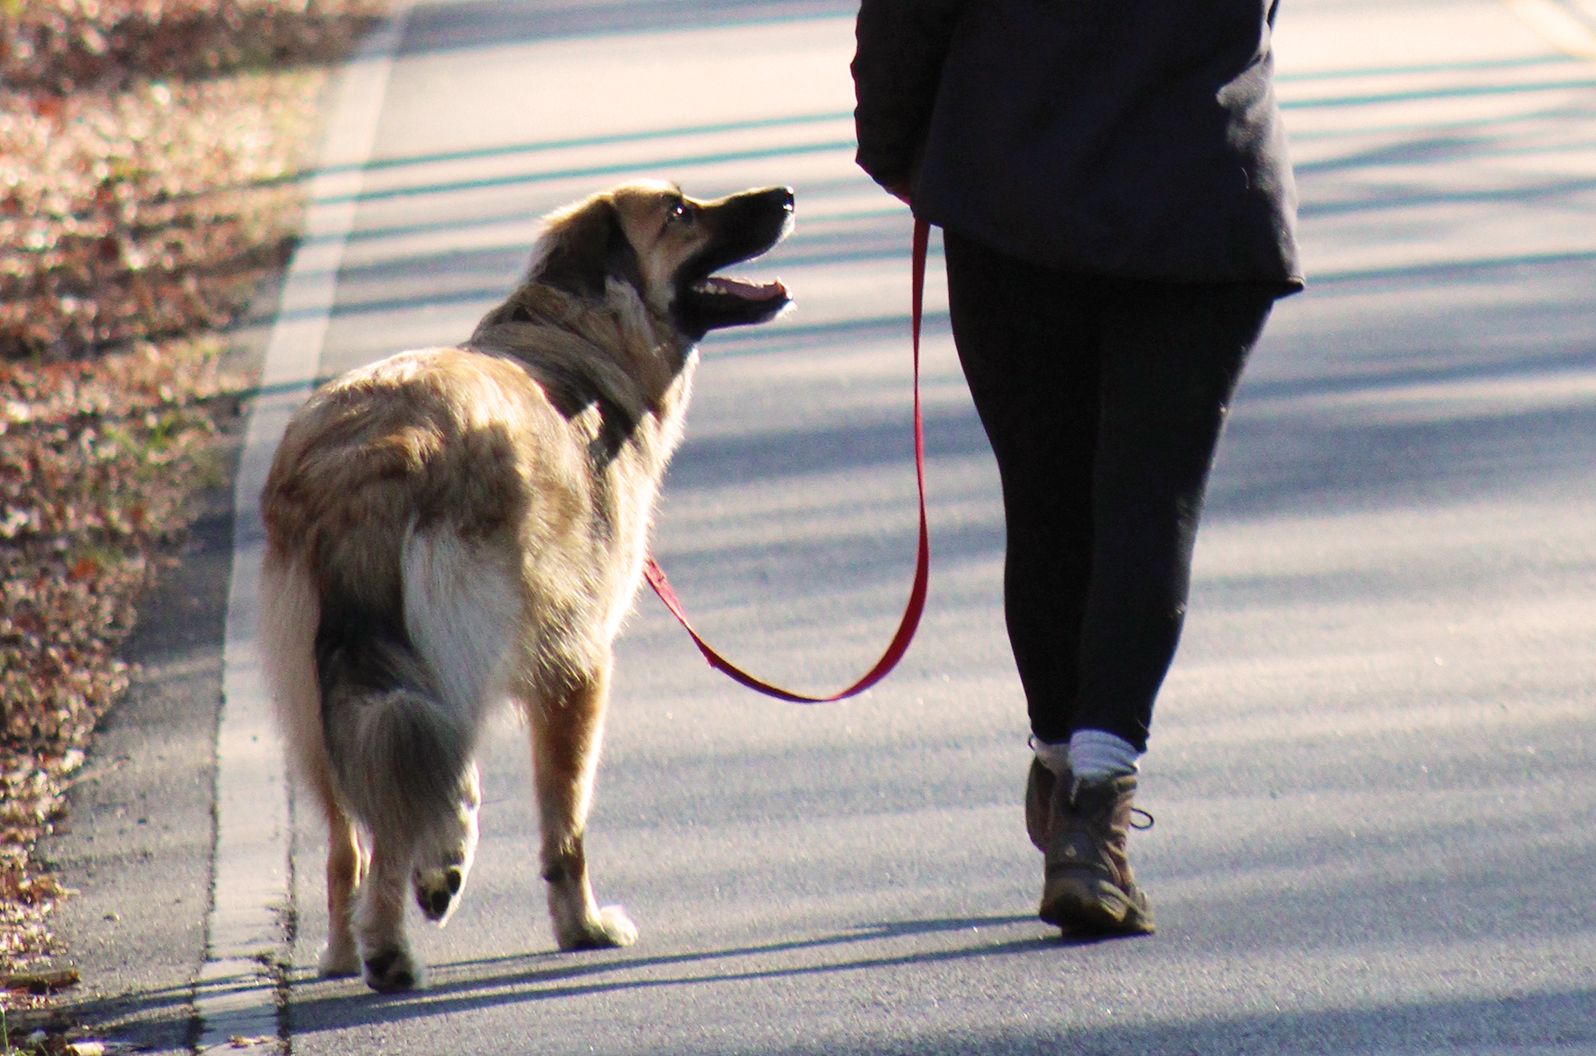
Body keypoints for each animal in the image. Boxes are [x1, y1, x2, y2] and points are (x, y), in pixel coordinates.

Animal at [260, 180, 798, 995]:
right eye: (679, 213)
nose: (787, 196)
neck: (577, 337)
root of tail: (363, 462)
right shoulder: (576, 668)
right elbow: (565, 823)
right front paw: (582, 928)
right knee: (391, 821)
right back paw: (388, 951)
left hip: (319, 697)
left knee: (349, 834)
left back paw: (348, 947)